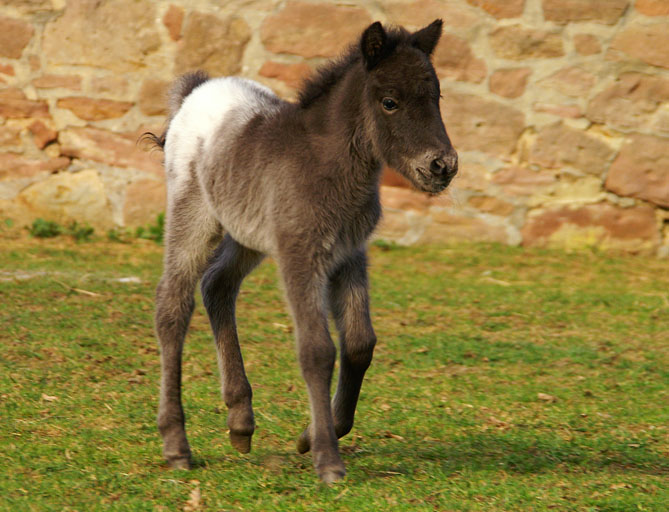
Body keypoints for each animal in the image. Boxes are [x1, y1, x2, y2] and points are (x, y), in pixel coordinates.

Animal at [148, 21, 456, 484]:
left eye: (436, 97)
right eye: (390, 102)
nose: (443, 166)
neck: (329, 165)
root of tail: (195, 90)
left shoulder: (349, 254)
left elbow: (360, 342)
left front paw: (312, 434)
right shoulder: (300, 254)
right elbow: (316, 350)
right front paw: (327, 458)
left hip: (247, 232)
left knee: (217, 285)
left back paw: (241, 422)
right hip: (195, 217)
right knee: (173, 306)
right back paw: (176, 445)